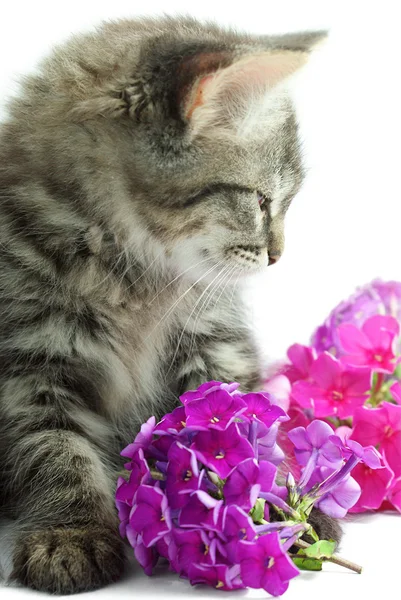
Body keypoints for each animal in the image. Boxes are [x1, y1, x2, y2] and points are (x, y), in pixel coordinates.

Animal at [0, 15, 338, 596]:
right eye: (261, 201)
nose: (278, 254)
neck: (131, 278)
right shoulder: (28, 365)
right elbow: (55, 451)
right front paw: (70, 534)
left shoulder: (215, 342)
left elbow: (249, 430)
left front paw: (282, 506)